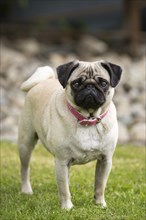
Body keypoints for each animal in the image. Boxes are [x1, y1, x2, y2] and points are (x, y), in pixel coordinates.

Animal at [18, 60, 122, 210]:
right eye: (76, 83)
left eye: (103, 83)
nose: (90, 86)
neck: (88, 120)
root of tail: (43, 81)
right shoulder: (62, 161)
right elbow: (63, 189)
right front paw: (67, 207)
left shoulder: (105, 160)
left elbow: (100, 185)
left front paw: (100, 204)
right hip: (26, 143)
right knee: (25, 168)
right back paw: (26, 190)